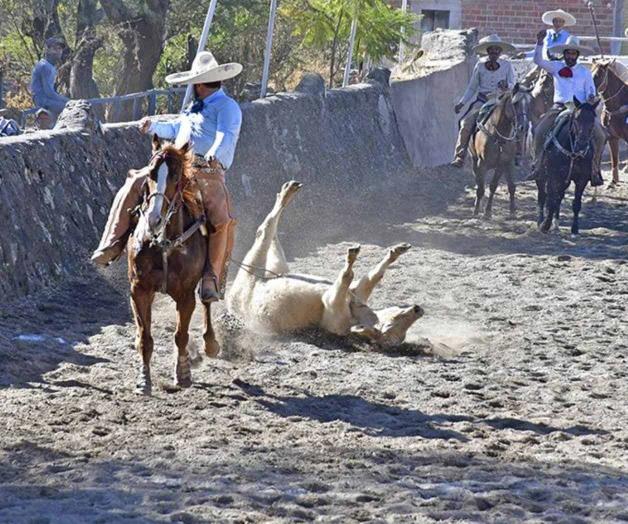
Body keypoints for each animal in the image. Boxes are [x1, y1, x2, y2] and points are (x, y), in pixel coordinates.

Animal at [128, 139, 221, 392]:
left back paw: (210, 343)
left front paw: (184, 374)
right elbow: (145, 337)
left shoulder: (185, 295)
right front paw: (143, 379)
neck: (164, 244)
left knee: (207, 301)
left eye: (176, 175)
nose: (153, 220)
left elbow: (181, 335)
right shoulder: (139, 290)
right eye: (151, 173)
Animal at [226, 180, 422, 348]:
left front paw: (351, 258)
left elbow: (345, 279)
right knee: (272, 240)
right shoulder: (357, 294)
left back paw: (286, 194)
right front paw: (394, 252)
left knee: (264, 233)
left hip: (249, 278)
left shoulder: (335, 315)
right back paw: (287, 193)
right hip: (275, 270)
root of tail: (230, 303)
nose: (417, 309)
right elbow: (371, 279)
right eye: (394, 321)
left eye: (390, 328)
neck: (355, 312)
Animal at [468, 87, 524, 218]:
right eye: (514, 104)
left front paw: (488, 211)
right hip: (474, 160)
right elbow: (481, 187)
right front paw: (477, 210)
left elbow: (494, 186)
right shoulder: (481, 163)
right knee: (478, 182)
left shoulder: (502, 164)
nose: (522, 126)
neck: (498, 137)